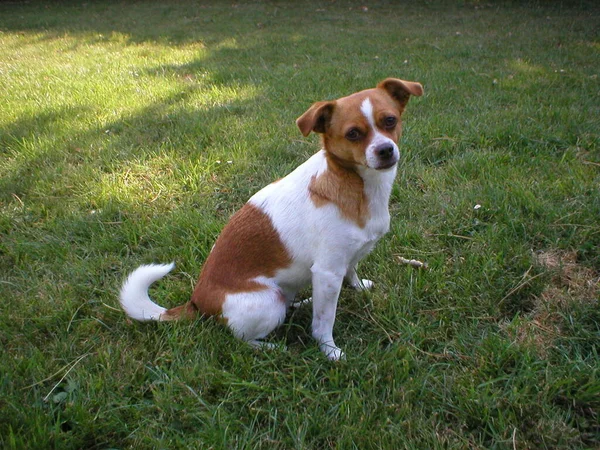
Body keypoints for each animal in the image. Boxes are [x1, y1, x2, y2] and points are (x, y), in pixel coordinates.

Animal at [119, 77, 424, 358]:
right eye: (353, 134)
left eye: (390, 120)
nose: (385, 149)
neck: (356, 184)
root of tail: (196, 303)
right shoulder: (327, 271)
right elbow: (324, 321)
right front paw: (330, 351)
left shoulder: (343, 263)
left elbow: (351, 272)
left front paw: (359, 288)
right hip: (269, 301)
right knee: (241, 339)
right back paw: (273, 348)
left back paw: (302, 303)